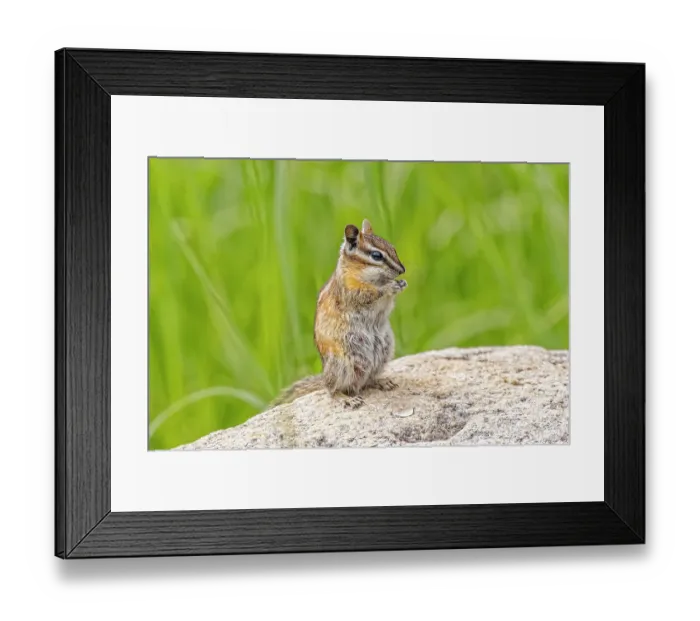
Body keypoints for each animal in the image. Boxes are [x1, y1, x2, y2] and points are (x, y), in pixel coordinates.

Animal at [273, 219, 407, 409]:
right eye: (376, 256)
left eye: (393, 248)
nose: (402, 270)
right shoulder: (350, 290)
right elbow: (369, 294)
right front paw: (390, 286)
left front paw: (401, 284)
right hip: (342, 365)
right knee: (333, 390)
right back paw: (347, 398)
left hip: (383, 353)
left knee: (367, 380)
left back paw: (381, 382)